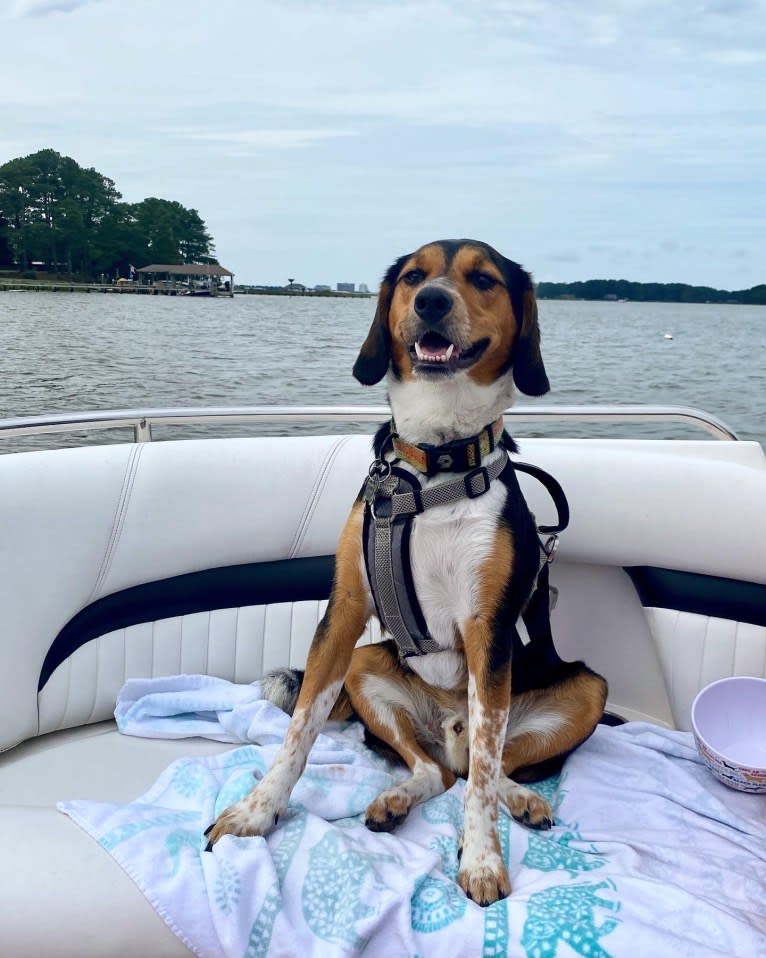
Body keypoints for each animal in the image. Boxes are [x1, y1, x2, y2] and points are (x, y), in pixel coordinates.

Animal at [206, 238, 612, 908]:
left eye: (483, 278)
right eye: (414, 276)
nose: (431, 301)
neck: (434, 469)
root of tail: (445, 725)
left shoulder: (488, 629)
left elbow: (485, 771)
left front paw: (481, 858)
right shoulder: (344, 613)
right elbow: (298, 733)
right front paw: (256, 811)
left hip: (587, 688)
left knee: (484, 764)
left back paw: (518, 799)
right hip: (366, 665)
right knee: (438, 769)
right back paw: (397, 798)